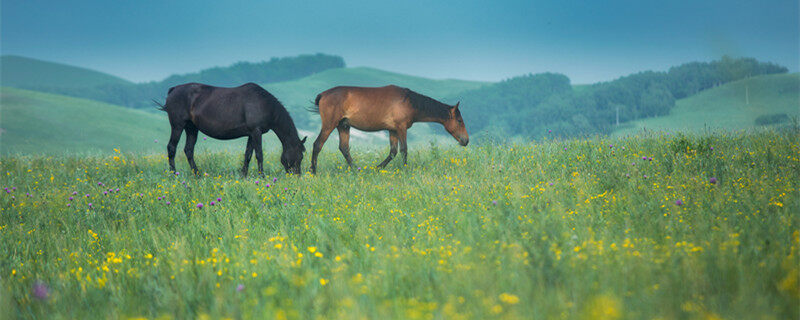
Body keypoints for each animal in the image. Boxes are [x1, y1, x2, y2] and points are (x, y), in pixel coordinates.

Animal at [308, 85, 468, 174]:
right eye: (460, 121)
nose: (466, 140)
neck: (409, 101)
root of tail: (323, 94)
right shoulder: (401, 128)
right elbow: (404, 150)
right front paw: (405, 170)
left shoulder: (392, 130)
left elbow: (393, 152)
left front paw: (377, 168)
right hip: (329, 125)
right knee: (317, 145)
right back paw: (313, 171)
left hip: (343, 126)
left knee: (344, 148)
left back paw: (356, 169)